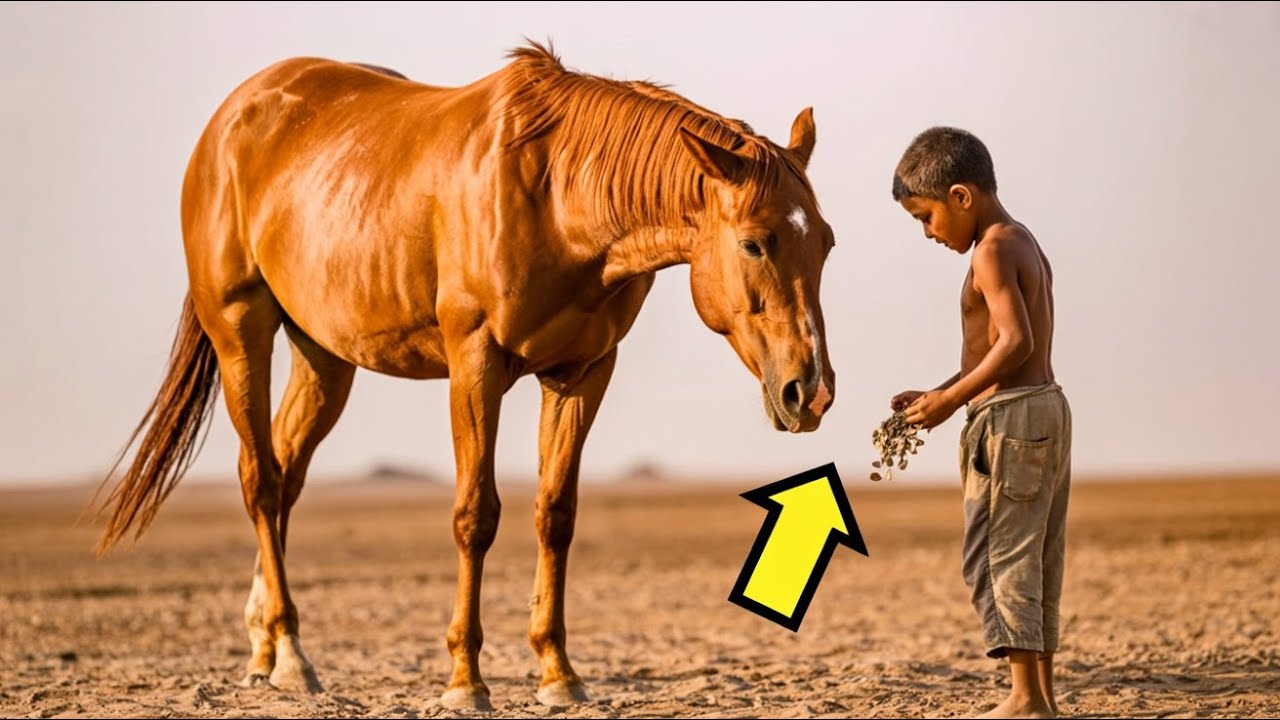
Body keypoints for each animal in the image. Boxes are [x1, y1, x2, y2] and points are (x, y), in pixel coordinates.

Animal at [95, 41, 836, 710]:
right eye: (754, 243)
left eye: (825, 242)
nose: (810, 392)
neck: (557, 195)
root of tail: (233, 116)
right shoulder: (475, 365)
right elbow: (475, 515)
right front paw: (465, 681)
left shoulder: (581, 373)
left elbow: (555, 514)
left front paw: (558, 673)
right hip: (241, 333)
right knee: (261, 480)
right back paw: (293, 655)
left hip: (323, 357)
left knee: (285, 475)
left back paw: (266, 652)